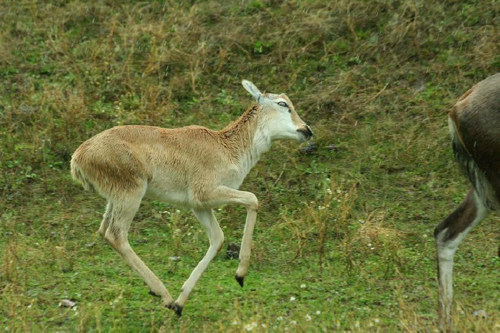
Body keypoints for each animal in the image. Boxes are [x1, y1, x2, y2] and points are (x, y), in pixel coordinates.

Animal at [70, 80, 312, 314]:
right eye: (283, 103)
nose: (307, 130)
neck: (226, 147)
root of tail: (78, 157)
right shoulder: (205, 193)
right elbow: (253, 199)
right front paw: (240, 275)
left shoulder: (199, 206)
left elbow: (218, 238)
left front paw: (181, 303)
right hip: (130, 194)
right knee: (116, 234)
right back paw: (164, 295)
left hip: (114, 199)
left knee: (103, 229)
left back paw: (166, 298)